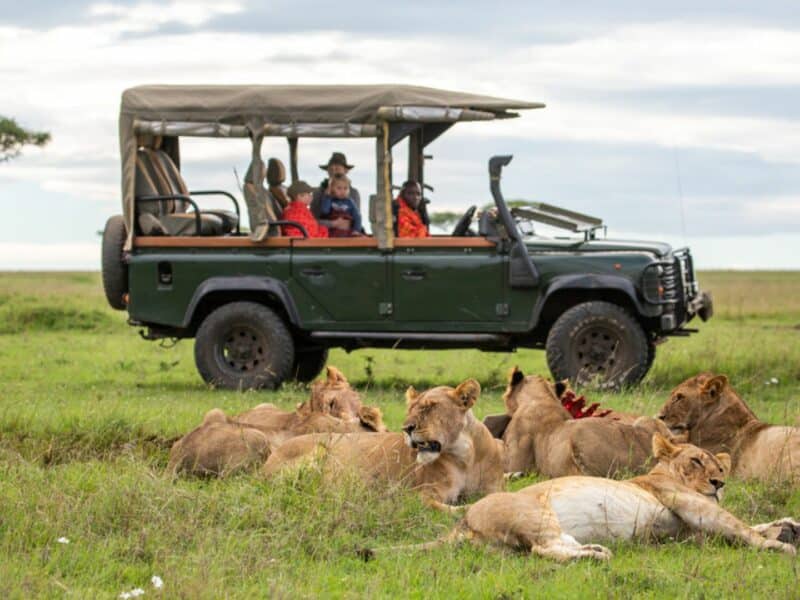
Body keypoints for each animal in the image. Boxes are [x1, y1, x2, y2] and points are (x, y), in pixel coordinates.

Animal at [262, 379, 505, 511]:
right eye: (410, 409)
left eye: (429, 407)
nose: (406, 428)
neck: (464, 456)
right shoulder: (421, 495)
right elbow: (454, 508)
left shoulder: (494, 487)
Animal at [366, 433, 797, 562]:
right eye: (695, 461)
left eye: (719, 467)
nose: (719, 483)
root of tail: (463, 522)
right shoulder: (688, 503)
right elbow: (739, 526)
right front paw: (782, 546)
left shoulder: (692, 529)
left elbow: (747, 523)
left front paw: (787, 526)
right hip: (537, 513)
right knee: (545, 549)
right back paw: (596, 556)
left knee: (545, 549)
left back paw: (594, 551)